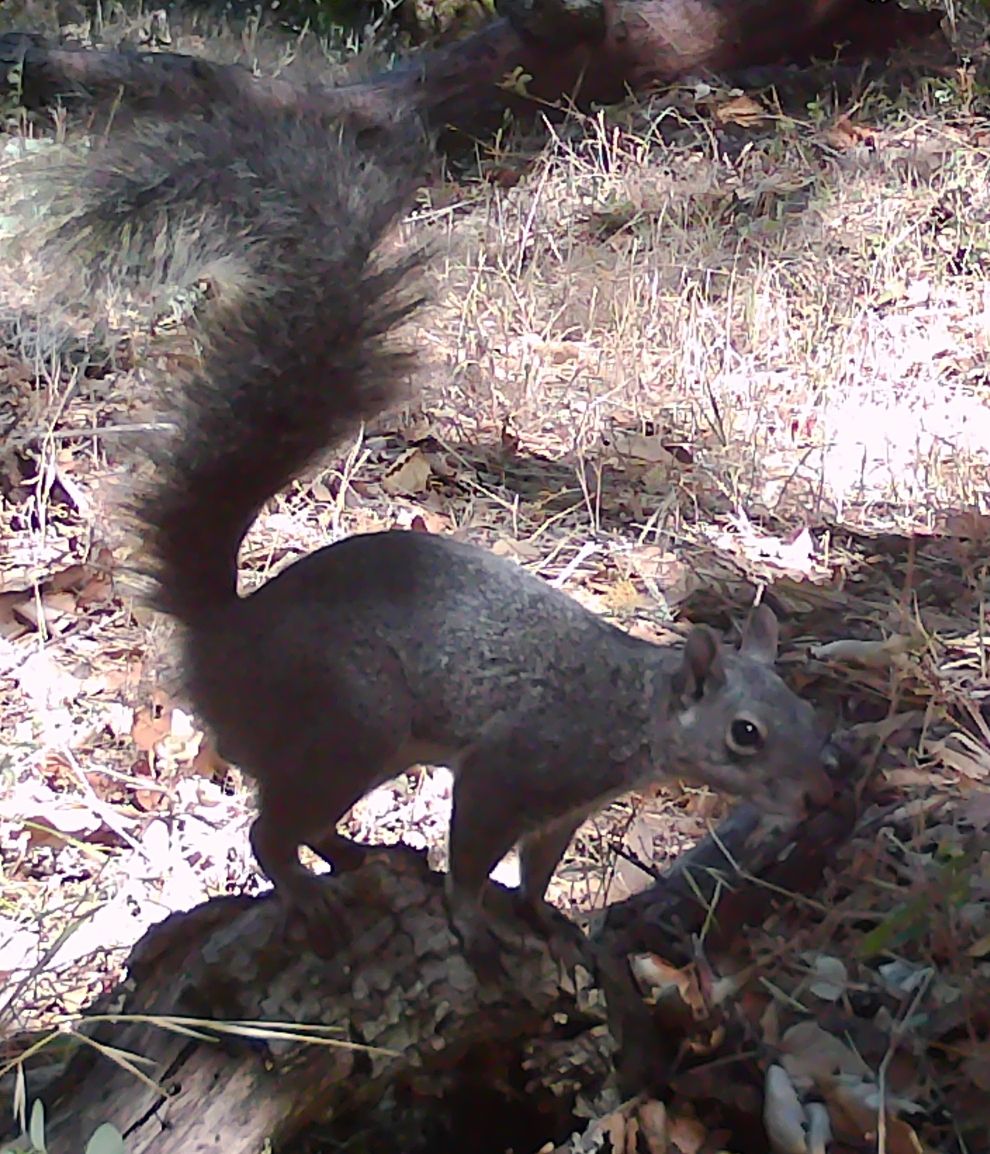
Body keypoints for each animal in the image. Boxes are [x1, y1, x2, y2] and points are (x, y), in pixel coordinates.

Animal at [22, 96, 839, 967]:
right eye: (746, 733)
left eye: (806, 712)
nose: (818, 795)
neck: (630, 707)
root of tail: (221, 633)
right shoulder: (513, 770)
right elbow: (474, 853)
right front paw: (473, 919)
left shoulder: (562, 811)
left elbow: (539, 870)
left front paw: (545, 917)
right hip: (348, 729)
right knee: (269, 831)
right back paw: (308, 893)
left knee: (302, 820)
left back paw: (357, 854)